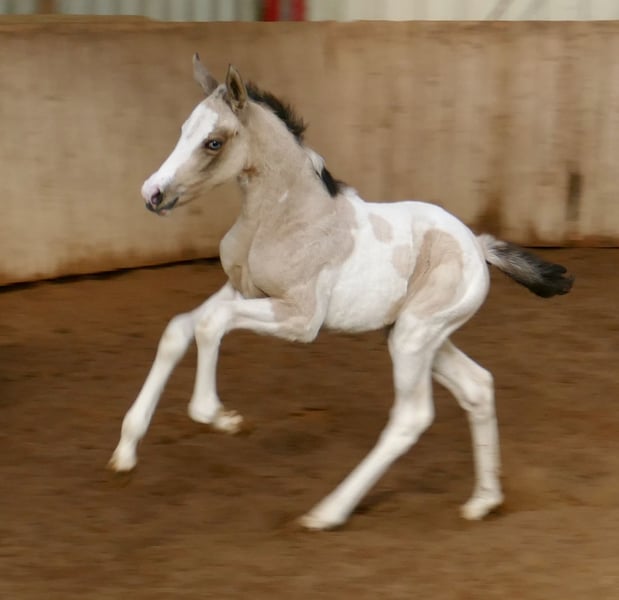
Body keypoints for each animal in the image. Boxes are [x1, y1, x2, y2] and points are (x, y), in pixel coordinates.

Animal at [109, 54, 573, 530]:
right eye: (184, 128)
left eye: (214, 142)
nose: (152, 193)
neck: (281, 218)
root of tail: (477, 246)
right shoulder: (240, 291)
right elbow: (179, 329)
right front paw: (125, 454)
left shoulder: (299, 319)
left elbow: (210, 325)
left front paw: (221, 418)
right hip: (416, 335)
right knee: (477, 386)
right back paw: (483, 501)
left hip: (414, 337)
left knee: (411, 417)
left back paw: (328, 512)